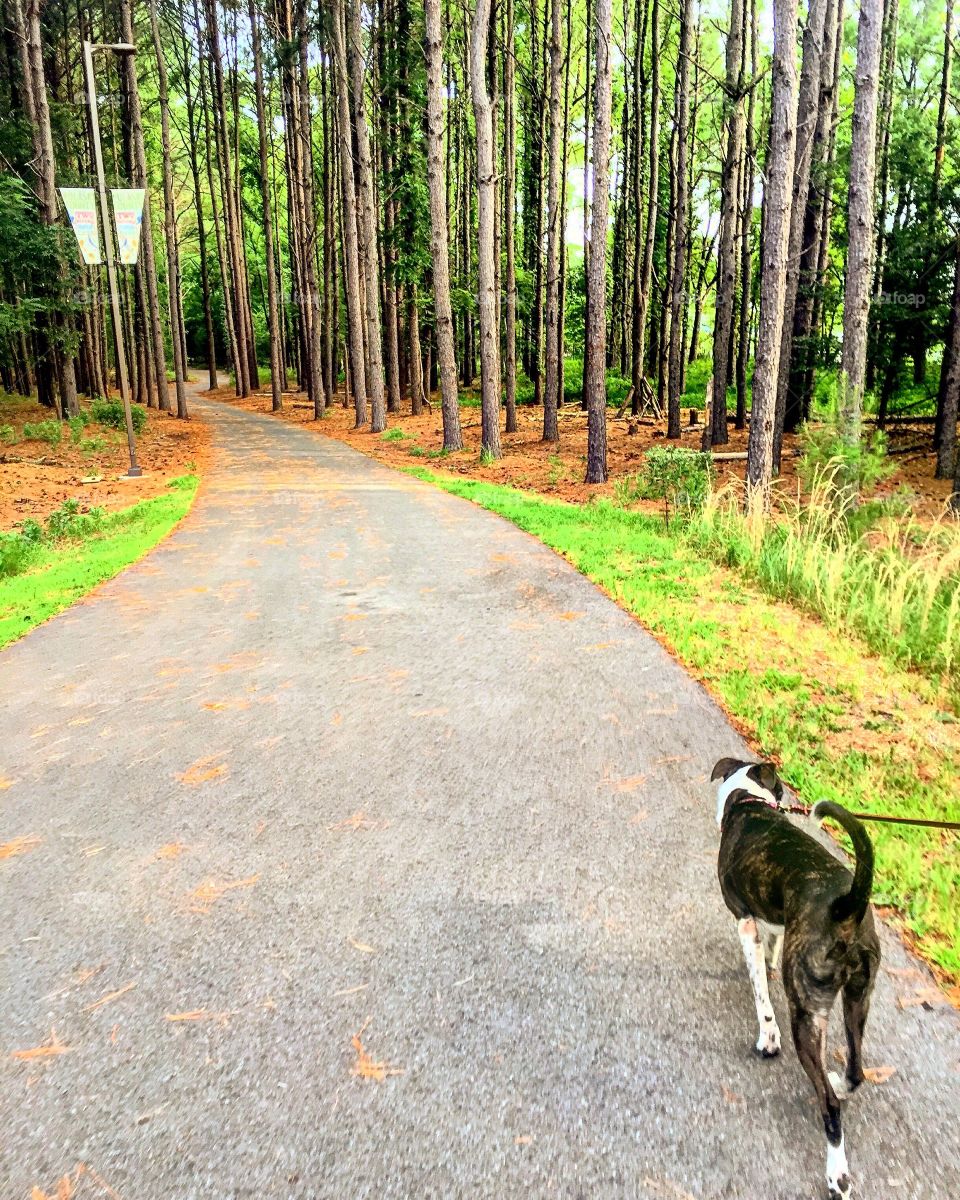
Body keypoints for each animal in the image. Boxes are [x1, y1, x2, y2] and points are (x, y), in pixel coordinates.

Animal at [710, 758, 878, 1200]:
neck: (749, 804)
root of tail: (847, 907)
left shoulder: (745, 922)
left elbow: (761, 995)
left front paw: (768, 1038)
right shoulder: (774, 921)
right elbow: (771, 946)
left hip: (807, 1012)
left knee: (830, 1106)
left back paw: (837, 1175)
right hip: (858, 998)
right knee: (856, 1069)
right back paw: (842, 1082)